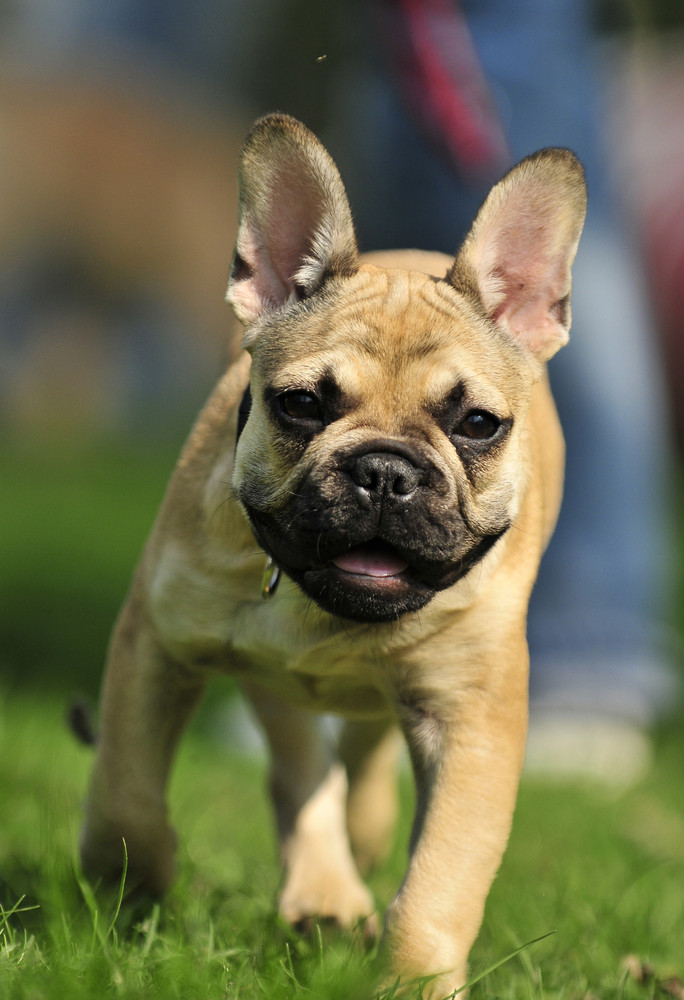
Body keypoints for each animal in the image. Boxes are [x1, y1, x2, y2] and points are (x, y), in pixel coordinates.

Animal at [79, 113, 584, 996]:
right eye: (302, 405)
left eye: (478, 425)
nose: (384, 472)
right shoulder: (156, 645)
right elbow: (128, 790)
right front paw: (130, 886)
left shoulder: (472, 719)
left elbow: (441, 879)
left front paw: (416, 981)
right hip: (267, 681)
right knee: (298, 769)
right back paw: (324, 889)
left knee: (357, 755)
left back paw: (360, 843)